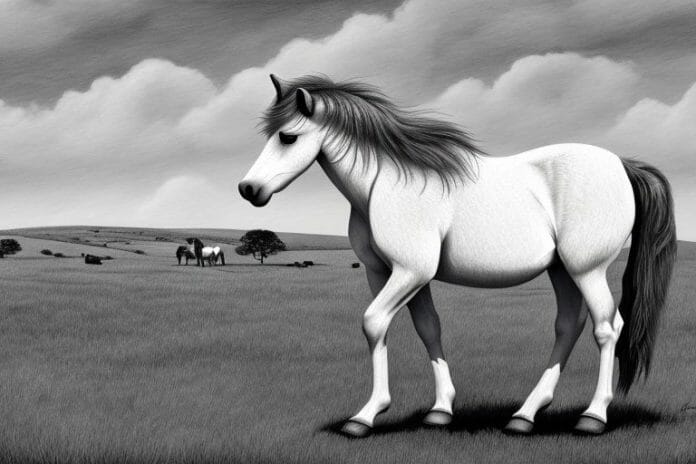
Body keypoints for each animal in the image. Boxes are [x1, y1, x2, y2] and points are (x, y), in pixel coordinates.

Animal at [238, 74, 677, 438]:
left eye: (288, 137)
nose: (248, 189)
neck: (386, 184)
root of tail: (622, 165)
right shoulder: (388, 274)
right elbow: (427, 328)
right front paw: (440, 410)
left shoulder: (409, 272)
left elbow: (374, 323)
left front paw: (365, 416)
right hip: (562, 270)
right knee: (569, 326)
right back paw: (525, 415)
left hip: (588, 269)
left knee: (607, 328)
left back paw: (593, 416)